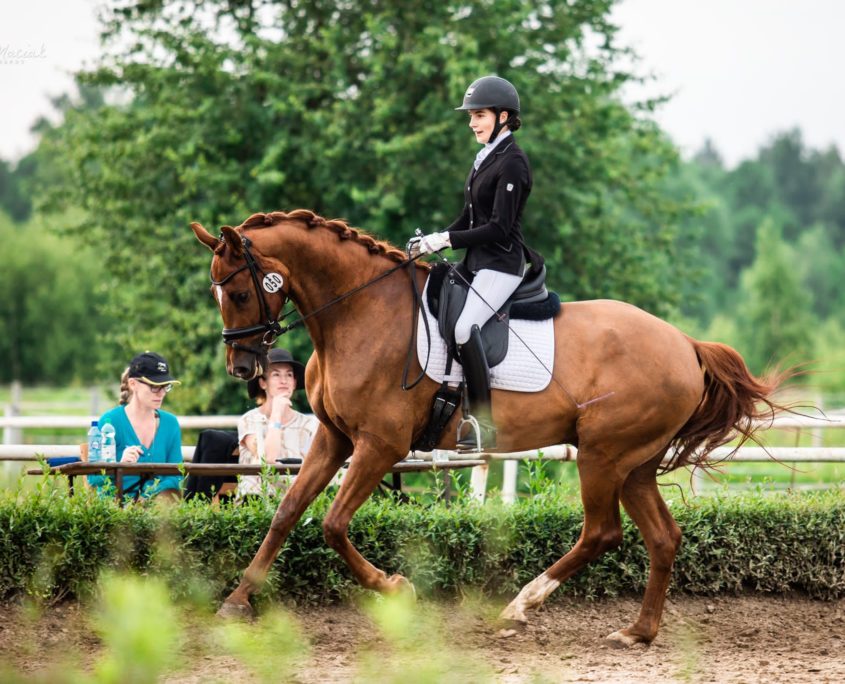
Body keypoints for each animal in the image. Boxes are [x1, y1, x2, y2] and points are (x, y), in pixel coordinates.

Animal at [193, 208, 784, 648]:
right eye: (216, 294)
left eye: (239, 293)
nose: (241, 367)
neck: (360, 312)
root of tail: (686, 344)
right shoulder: (334, 437)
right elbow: (287, 513)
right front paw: (237, 601)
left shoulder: (380, 445)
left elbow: (334, 525)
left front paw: (397, 588)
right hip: (634, 463)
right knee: (663, 537)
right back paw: (637, 632)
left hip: (603, 454)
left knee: (601, 532)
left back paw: (519, 606)